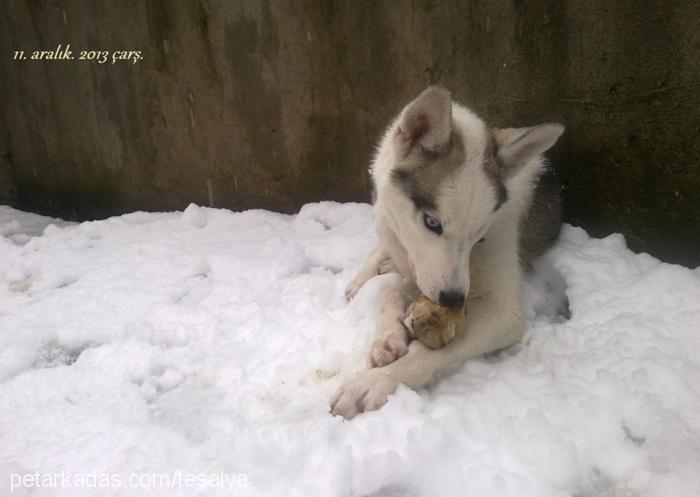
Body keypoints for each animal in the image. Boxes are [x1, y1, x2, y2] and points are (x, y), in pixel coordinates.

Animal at [330, 86, 568, 418]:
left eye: (480, 232)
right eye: (432, 223)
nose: (454, 300)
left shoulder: (500, 313)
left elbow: (424, 351)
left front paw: (373, 382)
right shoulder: (423, 270)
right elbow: (391, 289)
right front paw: (388, 337)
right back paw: (364, 276)